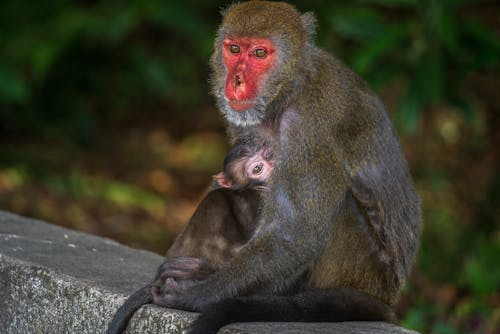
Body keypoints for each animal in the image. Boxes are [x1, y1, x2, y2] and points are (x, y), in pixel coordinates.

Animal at [135, 2, 420, 334]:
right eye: (234, 49)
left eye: (259, 54)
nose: (236, 81)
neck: (288, 91)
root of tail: (388, 296)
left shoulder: (309, 127)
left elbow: (295, 235)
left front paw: (198, 293)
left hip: (361, 269)